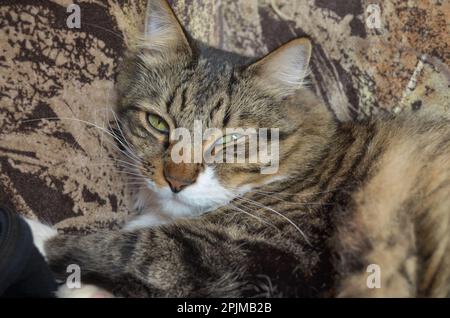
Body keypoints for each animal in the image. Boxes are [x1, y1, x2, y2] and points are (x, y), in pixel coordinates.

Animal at [27, 0, 450, 298]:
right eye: (159, 124)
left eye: (229, 141)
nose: (176, 182)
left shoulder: (271, 256)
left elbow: (131, 246)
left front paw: (33, 234)